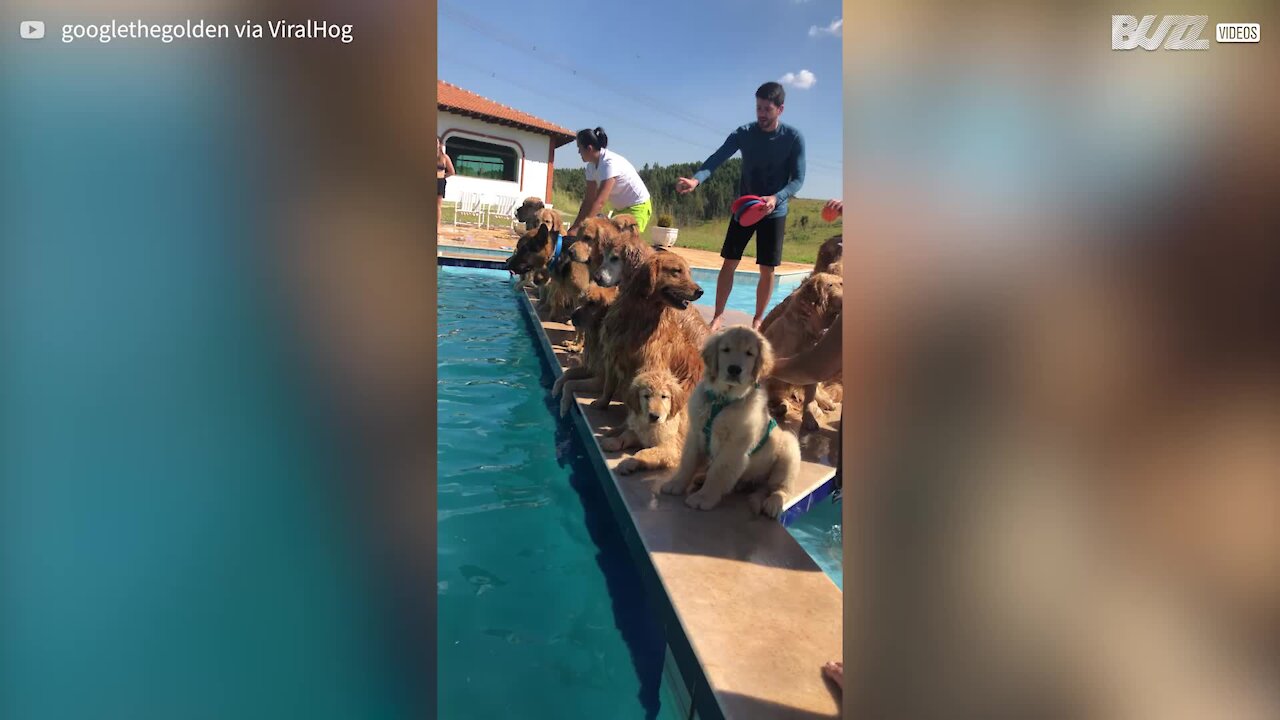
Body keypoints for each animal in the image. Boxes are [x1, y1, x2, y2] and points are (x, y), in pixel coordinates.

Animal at [550, 281, 619, 415]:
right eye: (581, 301)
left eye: (592, 303)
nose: (571, 316)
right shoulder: (589, 367)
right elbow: (567, 373)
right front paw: (556, 388)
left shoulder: (600, 380)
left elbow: (570, 383)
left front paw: (564, 404)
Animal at [591, 251, 706, 409]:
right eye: (677, 271)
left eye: (689, 273)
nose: (700, 291)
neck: (640, 315)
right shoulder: (612, 352)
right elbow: (608, 385)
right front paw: (602, 402)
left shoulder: (650, 364)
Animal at [660, 325, 798, 515]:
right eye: (725, 349)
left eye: (749, 353)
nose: (734, 369)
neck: (721, 399)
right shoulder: (695, 434)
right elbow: (688, 461)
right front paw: (676, 483)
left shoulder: (733, 447)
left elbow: (718, 471)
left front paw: (704, 497)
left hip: (789, 452)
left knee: (779, 487)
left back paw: (773, 502)